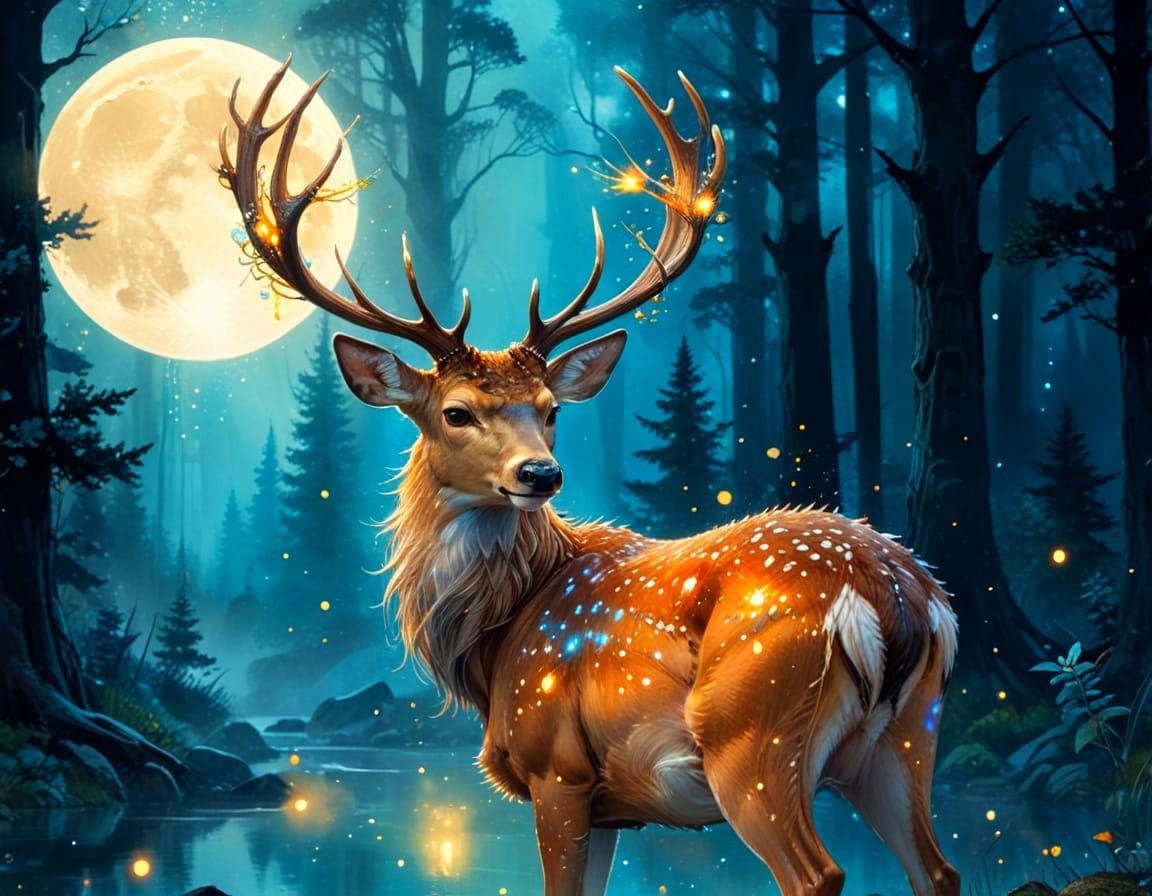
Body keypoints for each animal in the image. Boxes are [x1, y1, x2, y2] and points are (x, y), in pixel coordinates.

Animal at [219, 59, 961, 896]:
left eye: (550, 410)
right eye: (456, 411)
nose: (540, 473)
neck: (492, 639)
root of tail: (896, 593)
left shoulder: (558, 766)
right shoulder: (611, 806)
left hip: (753, 735)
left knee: (817, 872)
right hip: (907, 737)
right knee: (939, 870)